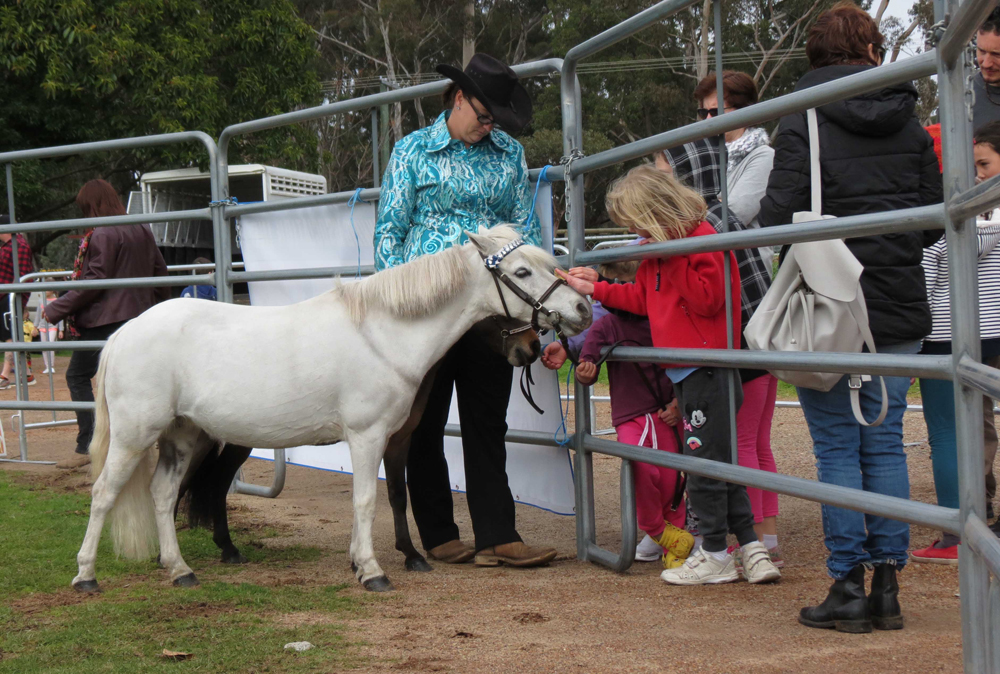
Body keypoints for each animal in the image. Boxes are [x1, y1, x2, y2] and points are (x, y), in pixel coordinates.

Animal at [74, 228, 588, 592]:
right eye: (521, 272)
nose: (582, 307)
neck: (383, 333)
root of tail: (123, 334)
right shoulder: (367, 435)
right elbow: (366, 500)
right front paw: (372, 571)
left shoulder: (389, 439)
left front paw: (367, 562)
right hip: (135, 437)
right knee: (103, 494)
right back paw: (86, 577)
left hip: (181, 437)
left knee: (162, 495)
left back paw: (180, 570)